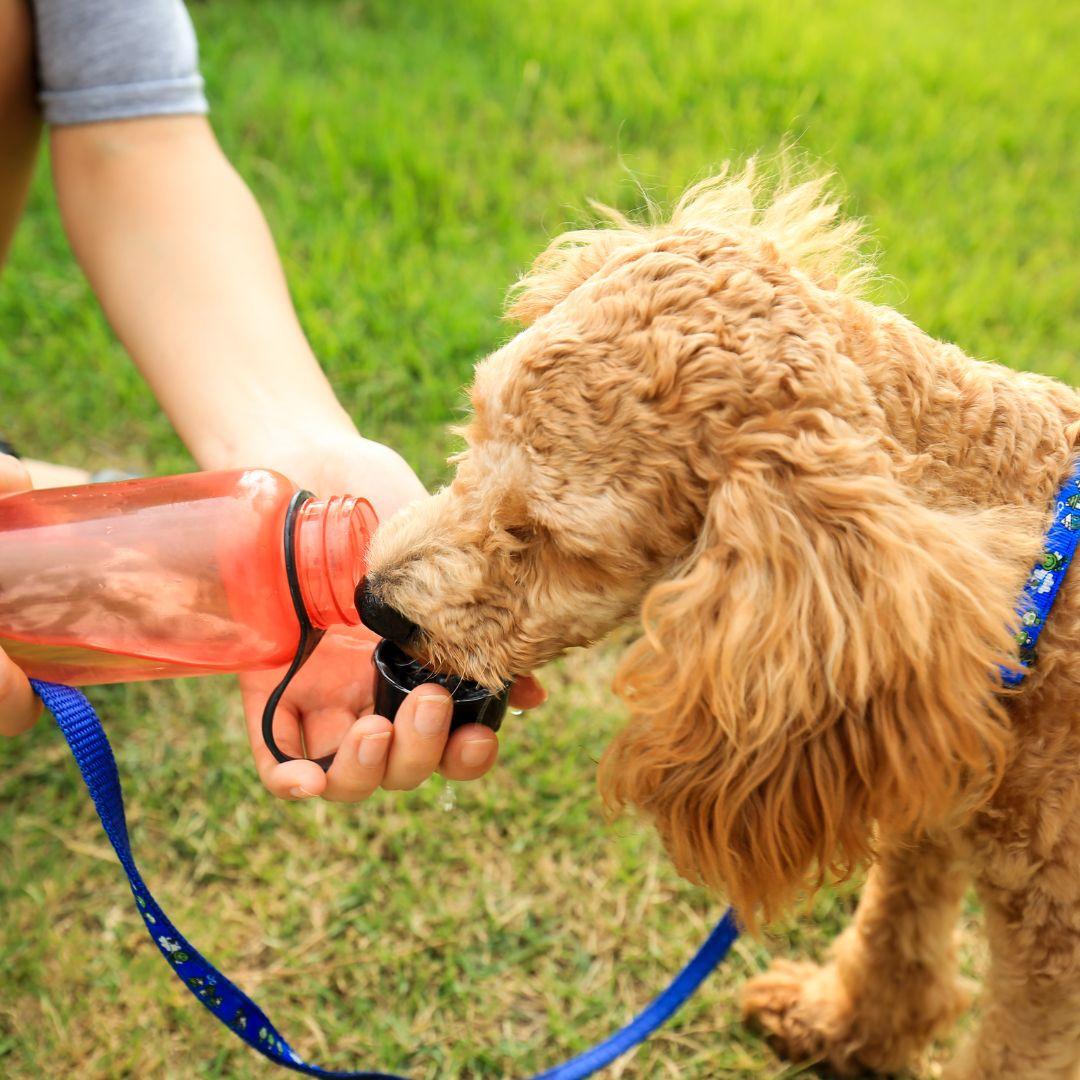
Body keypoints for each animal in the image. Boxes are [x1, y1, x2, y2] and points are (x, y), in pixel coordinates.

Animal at [360, 164, 1080, 1075]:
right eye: (477, 423)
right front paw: (845, 1027)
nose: (374, 600)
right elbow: (894, 930)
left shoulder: (1054, 938)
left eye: (560, 544)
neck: (1036, 582)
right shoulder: (930, 798)